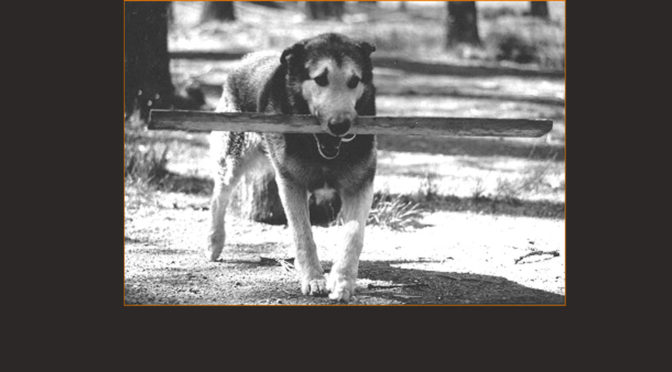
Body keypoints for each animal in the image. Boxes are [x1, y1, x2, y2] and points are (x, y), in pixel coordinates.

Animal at [209, 32, 378, 302]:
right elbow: (303, 234)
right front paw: (314, 279)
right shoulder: (291, 184)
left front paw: (342, 282)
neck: (323, 146)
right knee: (219, 196)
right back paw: (214, 242)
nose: (341, 125)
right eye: (320, 79)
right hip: (234, 156)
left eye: (354, 80)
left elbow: (353, 236)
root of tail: (247, 59)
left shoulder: (360, 185)